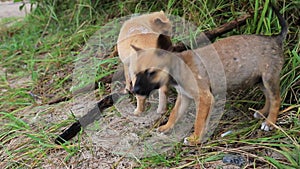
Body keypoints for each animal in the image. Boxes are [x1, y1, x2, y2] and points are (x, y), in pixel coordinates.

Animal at [129, 3, 288, 145]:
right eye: (135, 73)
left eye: (151, 72)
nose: (134, 91)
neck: (179, 67)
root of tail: (276, 39)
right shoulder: (184, 96)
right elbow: (175, 114)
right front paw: (167, 127)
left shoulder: (204, 97)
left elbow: (198, 121)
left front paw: (194, 139)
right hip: (260, 80)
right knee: (269, 97)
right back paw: (262, 113)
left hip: (269, 78)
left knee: (276, 99)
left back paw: (270, 122)